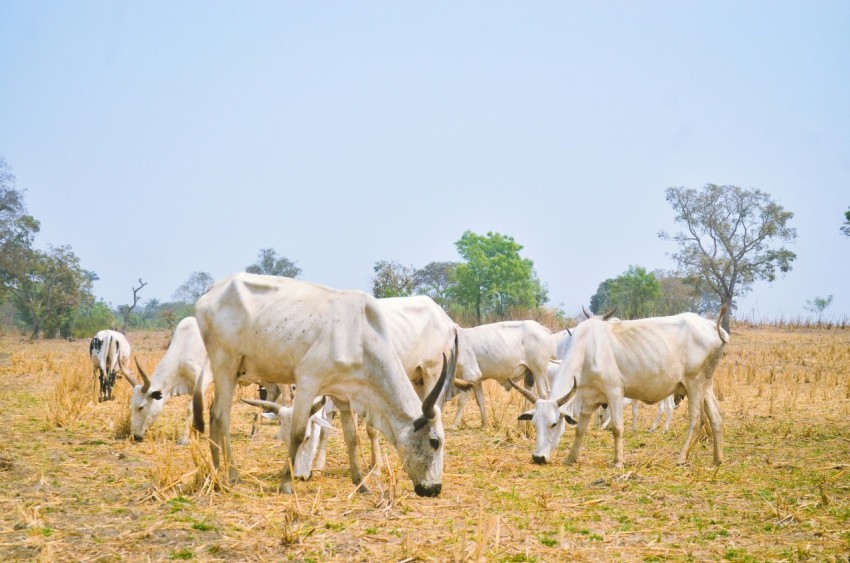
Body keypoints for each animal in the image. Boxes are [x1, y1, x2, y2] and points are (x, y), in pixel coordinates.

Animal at [193, 274, 458, 498]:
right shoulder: (308, 381)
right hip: (225, 363)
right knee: (221, 416)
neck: (360, 338)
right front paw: (286, 483)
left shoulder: (343, 394)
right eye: (435, 442)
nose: (434, 489)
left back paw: (217, 470)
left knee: (213, 412)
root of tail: (210, 293)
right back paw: (230, 473)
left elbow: (352, 438)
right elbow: (298, 432)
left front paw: (361, 484)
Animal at [512, 306, 724, 470]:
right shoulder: (589, 398)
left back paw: (681, 458)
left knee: (696, 421)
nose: (538, 457)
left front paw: (618, 462)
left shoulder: (614, 392)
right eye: (534, 424)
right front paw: (570, 458)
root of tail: (714, 327)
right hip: (706, 387)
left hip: (694, 384)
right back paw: (717, 460)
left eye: (554, 424)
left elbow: (617, 428)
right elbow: (580, 429)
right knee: (715, 418)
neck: (587, 349)